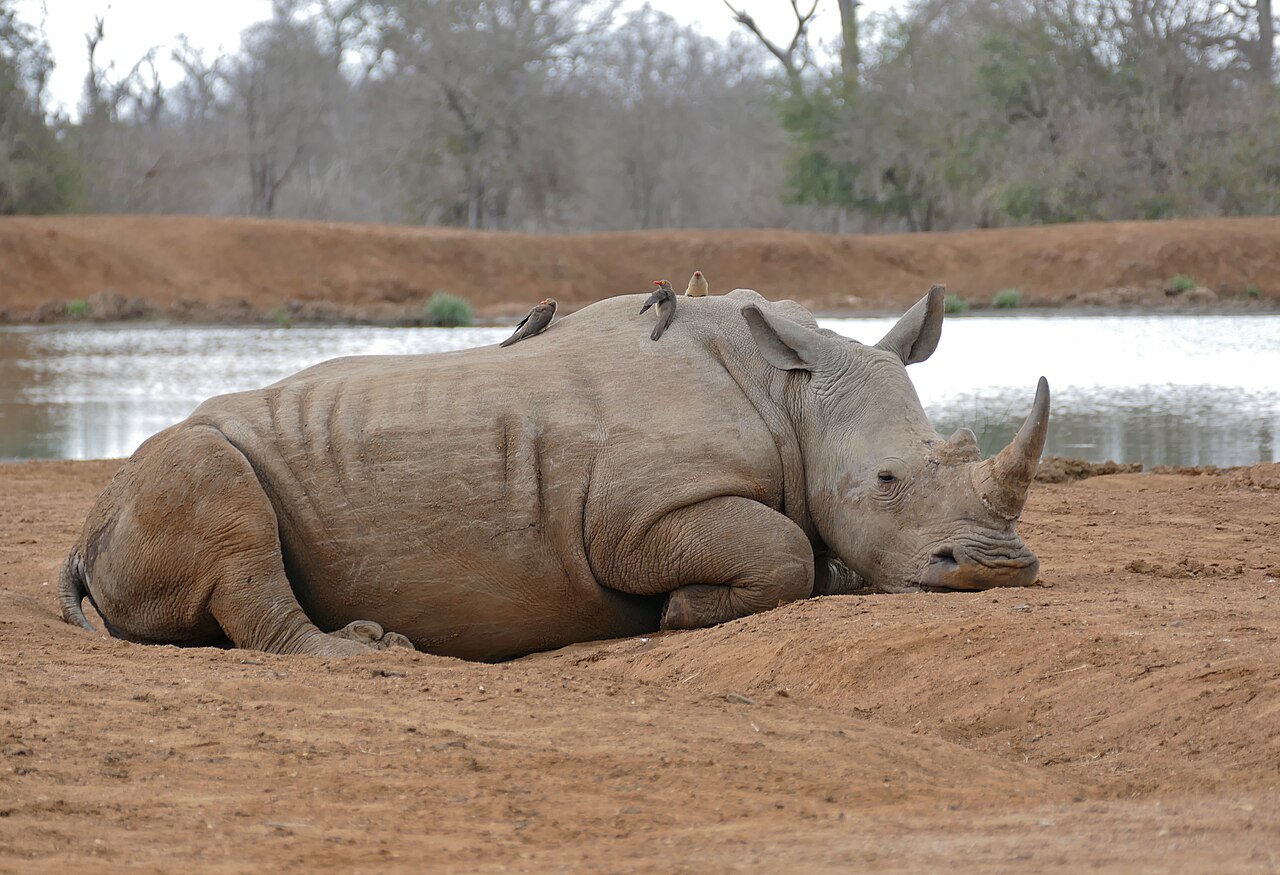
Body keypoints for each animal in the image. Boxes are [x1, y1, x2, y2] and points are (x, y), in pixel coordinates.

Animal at [59, 286, 1049, 661]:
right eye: (885, 481)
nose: (999, 569)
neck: (793, 391)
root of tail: (84, 532)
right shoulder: (634, 520)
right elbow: (782, 550)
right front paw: (676, 613)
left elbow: (811, 549)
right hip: (174, 465)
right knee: (216, 487)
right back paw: (370, 651)